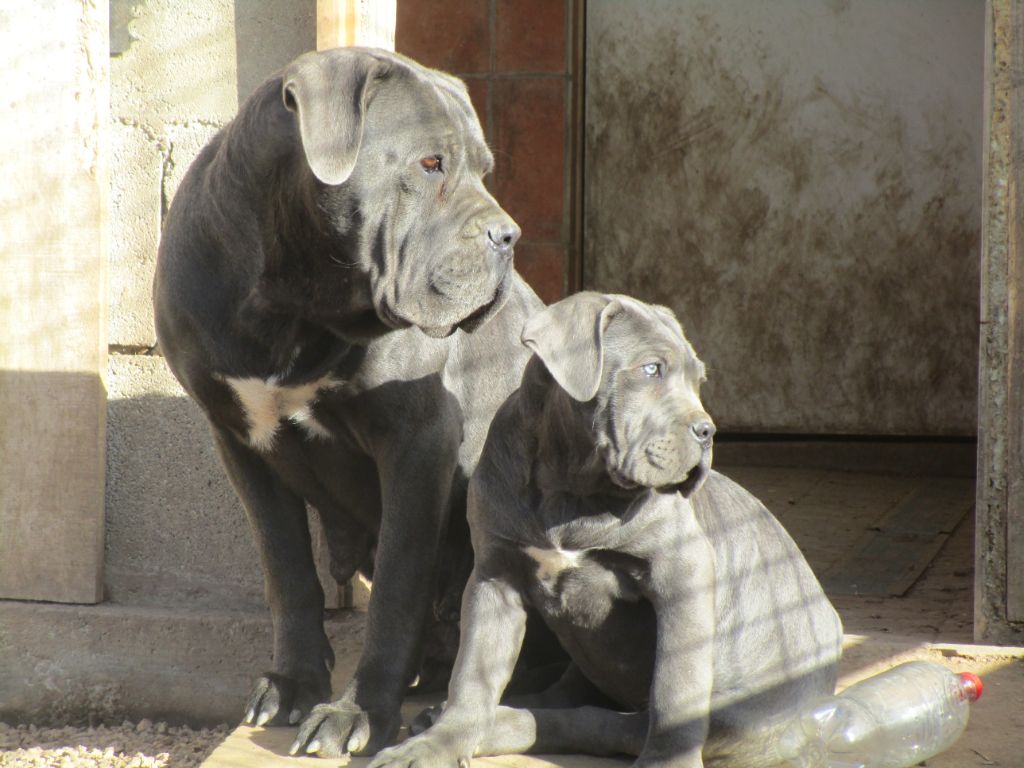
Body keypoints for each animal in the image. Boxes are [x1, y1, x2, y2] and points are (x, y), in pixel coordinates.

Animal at [151, 46, 544, 757]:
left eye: (484, 170)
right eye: (430, 164)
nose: (508, 235)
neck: (296, 298)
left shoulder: (417, 443)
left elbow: (395, 584)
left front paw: (357, 709)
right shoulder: (238, 440)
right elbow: (286, 567)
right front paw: (293, 682)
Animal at [372, 292, 843, 768]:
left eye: (699, 379)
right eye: (651, 369)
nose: (707, 431)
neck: (572, 488)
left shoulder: (682, 572)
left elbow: (677, 685)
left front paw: (668, 760)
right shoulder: (495, 576)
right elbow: (471, 674)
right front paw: (441, 742)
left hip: (739, 714)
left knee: (606, 721)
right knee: (566, 699)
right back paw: (449, 718)